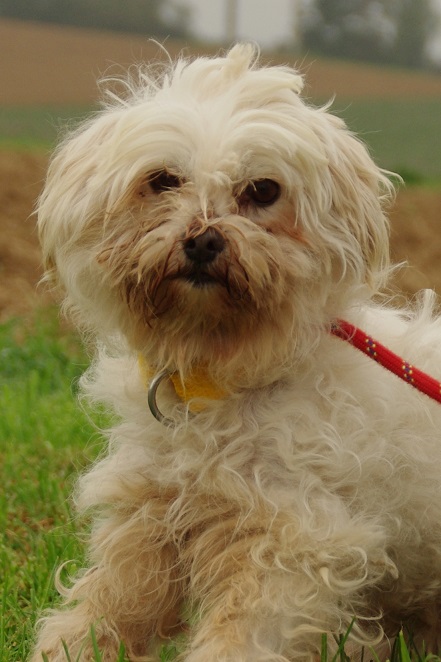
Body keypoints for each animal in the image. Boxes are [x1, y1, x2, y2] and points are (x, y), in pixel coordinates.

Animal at [31, 44, 441, 661]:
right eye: (162, 180)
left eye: (263, 190)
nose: (203, 239)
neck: (218, 384)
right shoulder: (151, 509)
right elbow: (115, 596)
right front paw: (73, 645)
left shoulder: (291, 538)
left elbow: (241, 629)